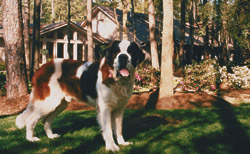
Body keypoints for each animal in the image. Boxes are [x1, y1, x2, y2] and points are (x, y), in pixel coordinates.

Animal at [15, 40, 145, 152]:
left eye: (130, 52)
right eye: (116, 52)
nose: (123, 57)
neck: (117, 80)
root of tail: (41, 68)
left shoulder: (119, 109)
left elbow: (118, 128)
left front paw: (122, 143)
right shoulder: (105, 109)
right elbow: (108, 129)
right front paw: (112, 146)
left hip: (60, 104)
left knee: (46, 121)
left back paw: (51, 136)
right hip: (48, 102)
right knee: (31, 119)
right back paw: (31, 139)